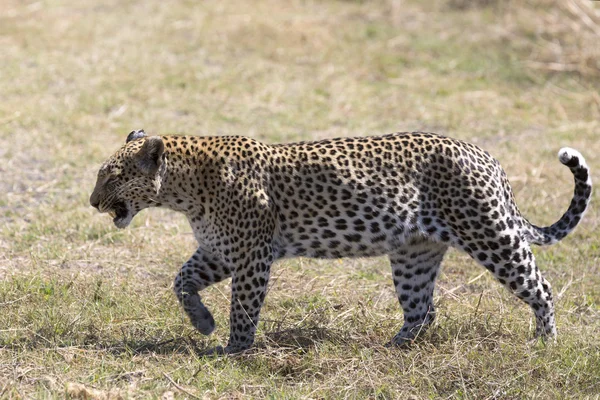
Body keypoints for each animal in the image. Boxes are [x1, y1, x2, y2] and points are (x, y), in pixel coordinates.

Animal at [88, 130, 592, 354]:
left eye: (112, 175)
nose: (92, 202)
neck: (184, 190)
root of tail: (487, 157)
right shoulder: (219, 250)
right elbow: (181, 280)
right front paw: (202, 321)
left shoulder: (251, 255)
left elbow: (244, 306)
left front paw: (234, 349)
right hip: (413, 255)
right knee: (423, 310)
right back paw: (391, 348)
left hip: (489, 233)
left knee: (541, 287)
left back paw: (545, 343)